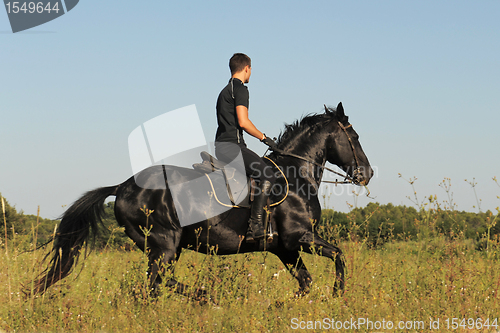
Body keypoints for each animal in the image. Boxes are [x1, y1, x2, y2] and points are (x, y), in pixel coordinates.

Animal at [31, 102, 374, 296]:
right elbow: (339, 256)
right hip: (164, 243)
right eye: (355, 137)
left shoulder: (284, 248)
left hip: (163, 247)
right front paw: (338, 294)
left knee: (156, 285)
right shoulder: (299, 237)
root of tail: (123, 187)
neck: (295, 175)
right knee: (156, 283)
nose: (367, 174)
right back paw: (206, 295)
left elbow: (306, 283)